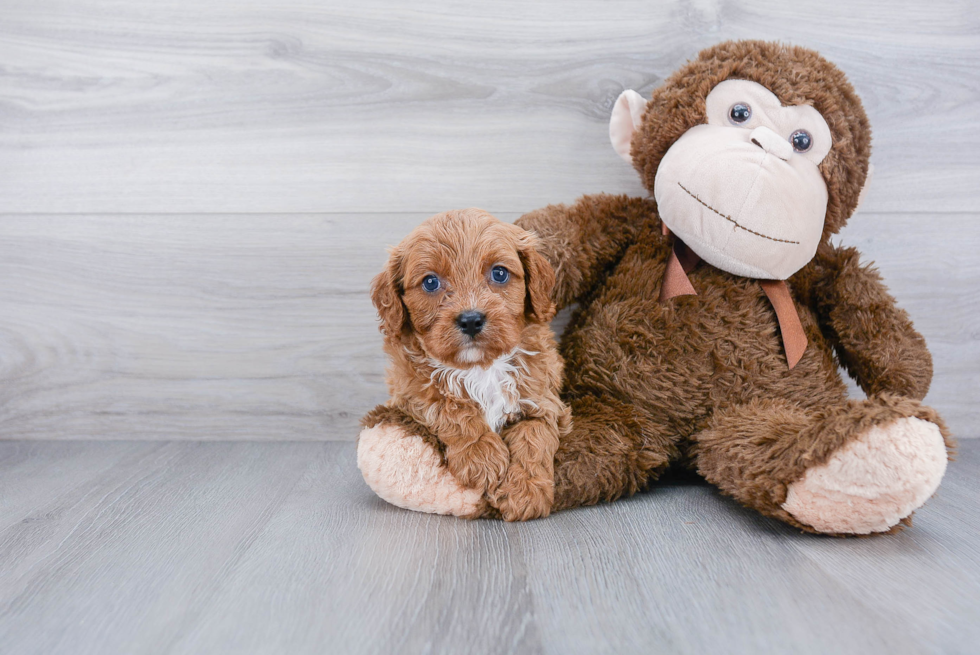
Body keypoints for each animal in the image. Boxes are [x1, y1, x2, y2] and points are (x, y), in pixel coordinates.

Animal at [362, 208, 576, 520]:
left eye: (499, 273)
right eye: (430, 282)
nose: (471, 320)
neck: (481, 367)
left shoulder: (543, 399)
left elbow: (534, 436)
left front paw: (525, 490)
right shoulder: (411, 388)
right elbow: (449, 406)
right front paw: (482, 455)